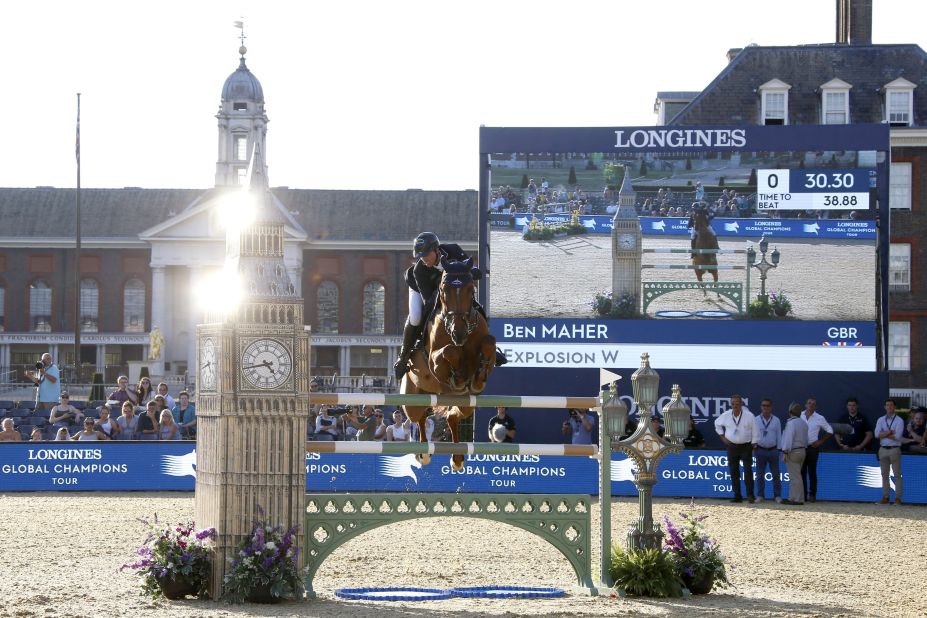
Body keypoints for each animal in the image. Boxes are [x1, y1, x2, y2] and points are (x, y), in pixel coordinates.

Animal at [400, 255, 500, 466]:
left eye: (471, 289)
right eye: (444, 290)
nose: (458, 333)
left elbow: (488, 343)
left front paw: (478, 376)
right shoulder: (434, 362)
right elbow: (450, 351)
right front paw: (458, 378)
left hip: (467, 403)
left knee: (452, 417)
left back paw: (458, 458)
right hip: (411, 399)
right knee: (419, 416)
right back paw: (423, 453)